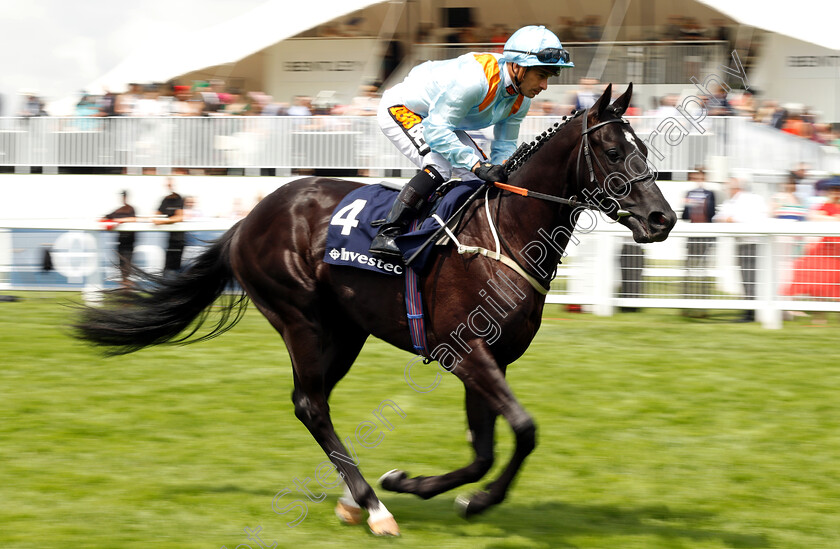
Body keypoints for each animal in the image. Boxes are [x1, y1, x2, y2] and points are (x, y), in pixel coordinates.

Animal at [72, 82, 676, 536]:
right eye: (614, 152)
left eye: (646, 150)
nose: (662, 219)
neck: (505, 232)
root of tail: (247, 220)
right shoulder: (466, 351)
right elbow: (524, 429)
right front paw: (468, 500)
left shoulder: (489, 359)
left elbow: (484, 450)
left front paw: (419, 484)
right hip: (302, 320)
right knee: (311, 404)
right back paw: (373, 507)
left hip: (344, 332)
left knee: (312, 403)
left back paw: (355, 500)